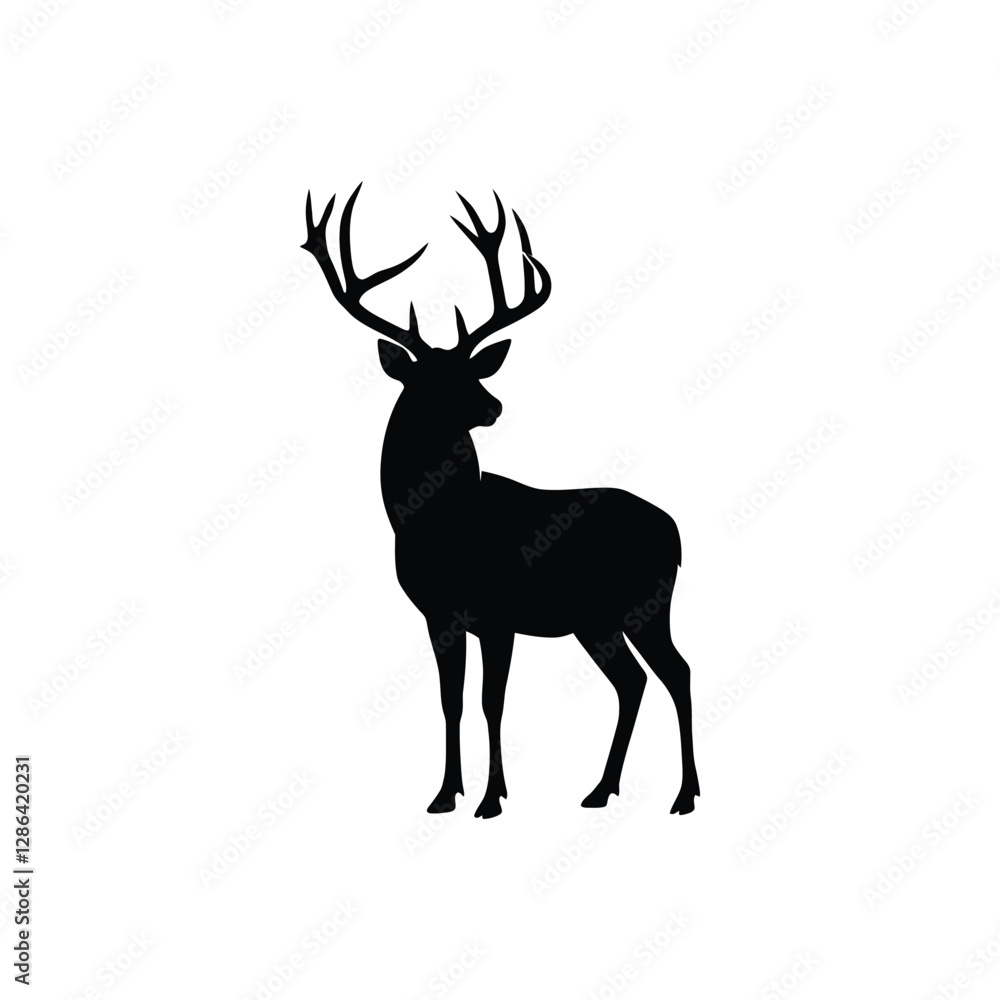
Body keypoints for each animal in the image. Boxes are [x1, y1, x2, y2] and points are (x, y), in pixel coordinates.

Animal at [301, 183, 699, 818]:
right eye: (430, 379)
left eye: (472, 369)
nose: (493, 406)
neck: (442, 528)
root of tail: (676, 532)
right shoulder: (438, 615)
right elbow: (452, 701)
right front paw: (445, 794)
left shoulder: (499, 613)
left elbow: (494, 702)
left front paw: (491, 798)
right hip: (596, 620)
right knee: (633, 682)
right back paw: (600, 790)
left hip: (647, 601)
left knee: (677, 673)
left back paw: (685, 795)